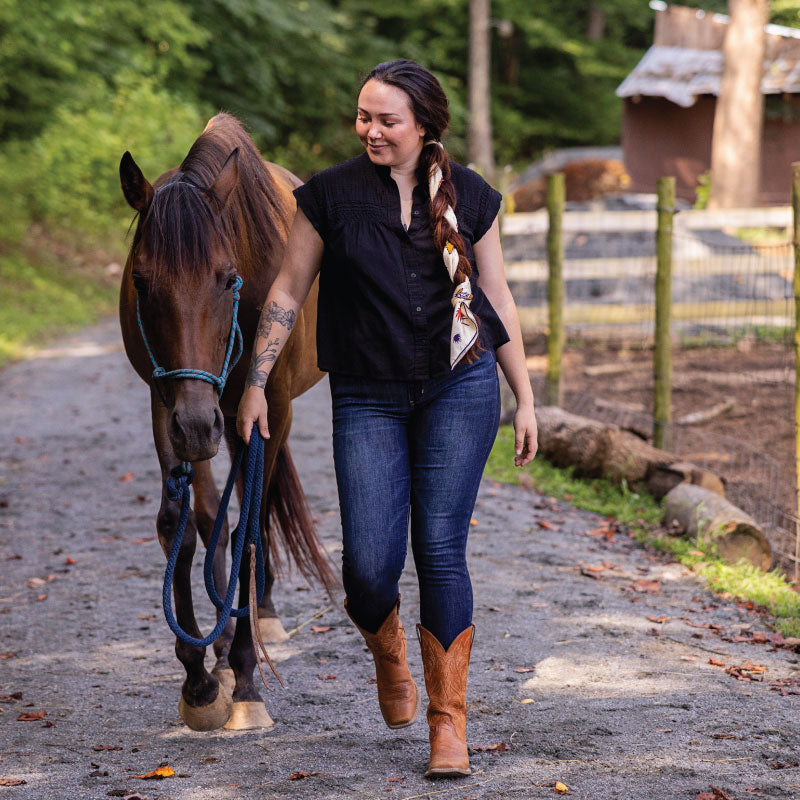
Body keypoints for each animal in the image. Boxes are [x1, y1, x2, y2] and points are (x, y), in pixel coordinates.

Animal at [118, 112, 334, 732]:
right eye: (142, 282)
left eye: (227, 278)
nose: (197, 425)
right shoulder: (166, 402)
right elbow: (181, 526)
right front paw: (199, 680)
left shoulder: (268, 408)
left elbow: (252, 526)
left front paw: (247, 680)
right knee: (216, 512)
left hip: (246, 416)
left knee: (254, 514)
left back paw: (257, 617)